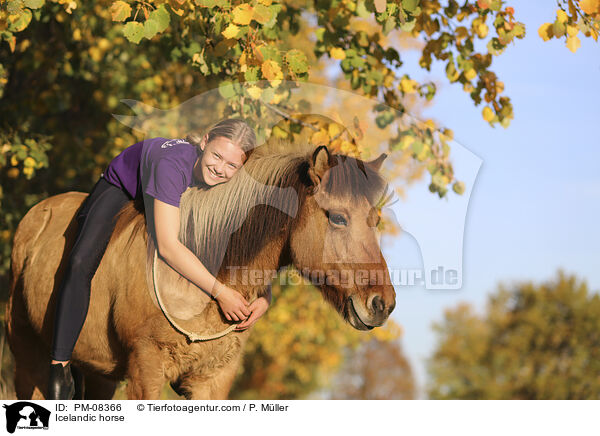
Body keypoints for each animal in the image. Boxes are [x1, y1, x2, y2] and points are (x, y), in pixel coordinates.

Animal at [7, 142, 398, 398]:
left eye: (375, 219)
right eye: (338, 218)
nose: (383, 304)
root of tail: (37, 214)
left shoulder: (212, 381)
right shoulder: (146, 371)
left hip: (101, 374)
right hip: (28, 358)